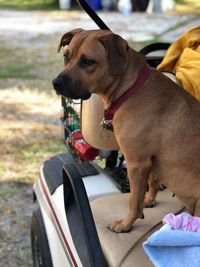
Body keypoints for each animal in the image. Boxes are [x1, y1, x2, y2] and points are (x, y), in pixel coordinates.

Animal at [52, 29, 200, 233]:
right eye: (66, 57)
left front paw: (126, 224)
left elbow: (134, 200)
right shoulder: (149, 161)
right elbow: (151, 183)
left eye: (88, 61)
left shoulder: (137, 163)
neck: (130, 89)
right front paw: (149, 200)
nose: (56, 83)